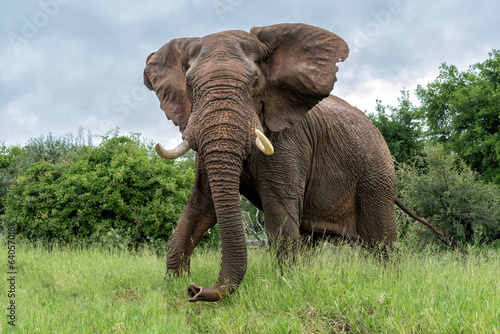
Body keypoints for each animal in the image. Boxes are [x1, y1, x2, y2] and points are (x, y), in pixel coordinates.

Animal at [142, 23, 450, 302]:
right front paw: (173, 284)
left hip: (377, 173)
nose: (194, 290)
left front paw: (285, 287)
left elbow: (278, 210)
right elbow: (200, 205)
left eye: (255, 84)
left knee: (381, 242)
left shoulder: (290, 140)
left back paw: (390, 281)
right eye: (190, 86)